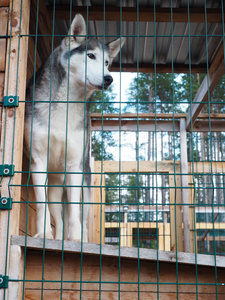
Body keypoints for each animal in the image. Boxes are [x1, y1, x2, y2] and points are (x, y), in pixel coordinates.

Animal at [25, 14, 125, 241]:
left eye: (107, 62)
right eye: (90, 56)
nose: (109, 78)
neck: (66, 103)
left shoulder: (74, 167)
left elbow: (74, 212)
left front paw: (76, 239)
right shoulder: (38, 161)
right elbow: (42, 205)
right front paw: (44, 233)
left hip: (85, 183)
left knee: (82, 215)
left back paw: (82, 239)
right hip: (54, 187)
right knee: (57, 214)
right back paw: (59, 238)